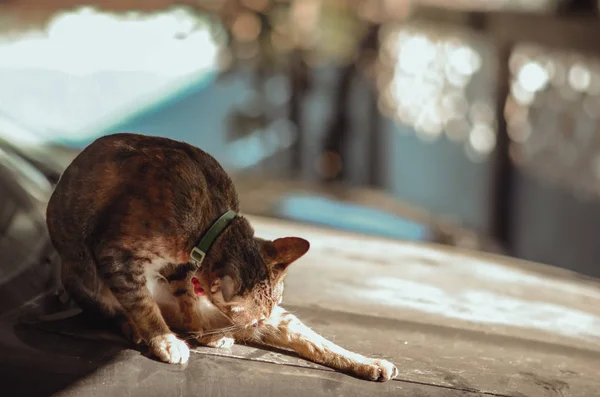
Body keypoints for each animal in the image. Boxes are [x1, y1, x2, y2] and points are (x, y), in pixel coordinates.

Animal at [47, 132, 398, 380]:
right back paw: (143, 328)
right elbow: (142, 304)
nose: (254, 325)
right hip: (82, 275)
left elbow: (188, 300)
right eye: (253, 318)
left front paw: (199, 331)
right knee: (115, 308)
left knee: (311, 339)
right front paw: (164, 338)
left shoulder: (181, 268)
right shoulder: (115, 254)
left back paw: (370, 363)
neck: (210, 222)